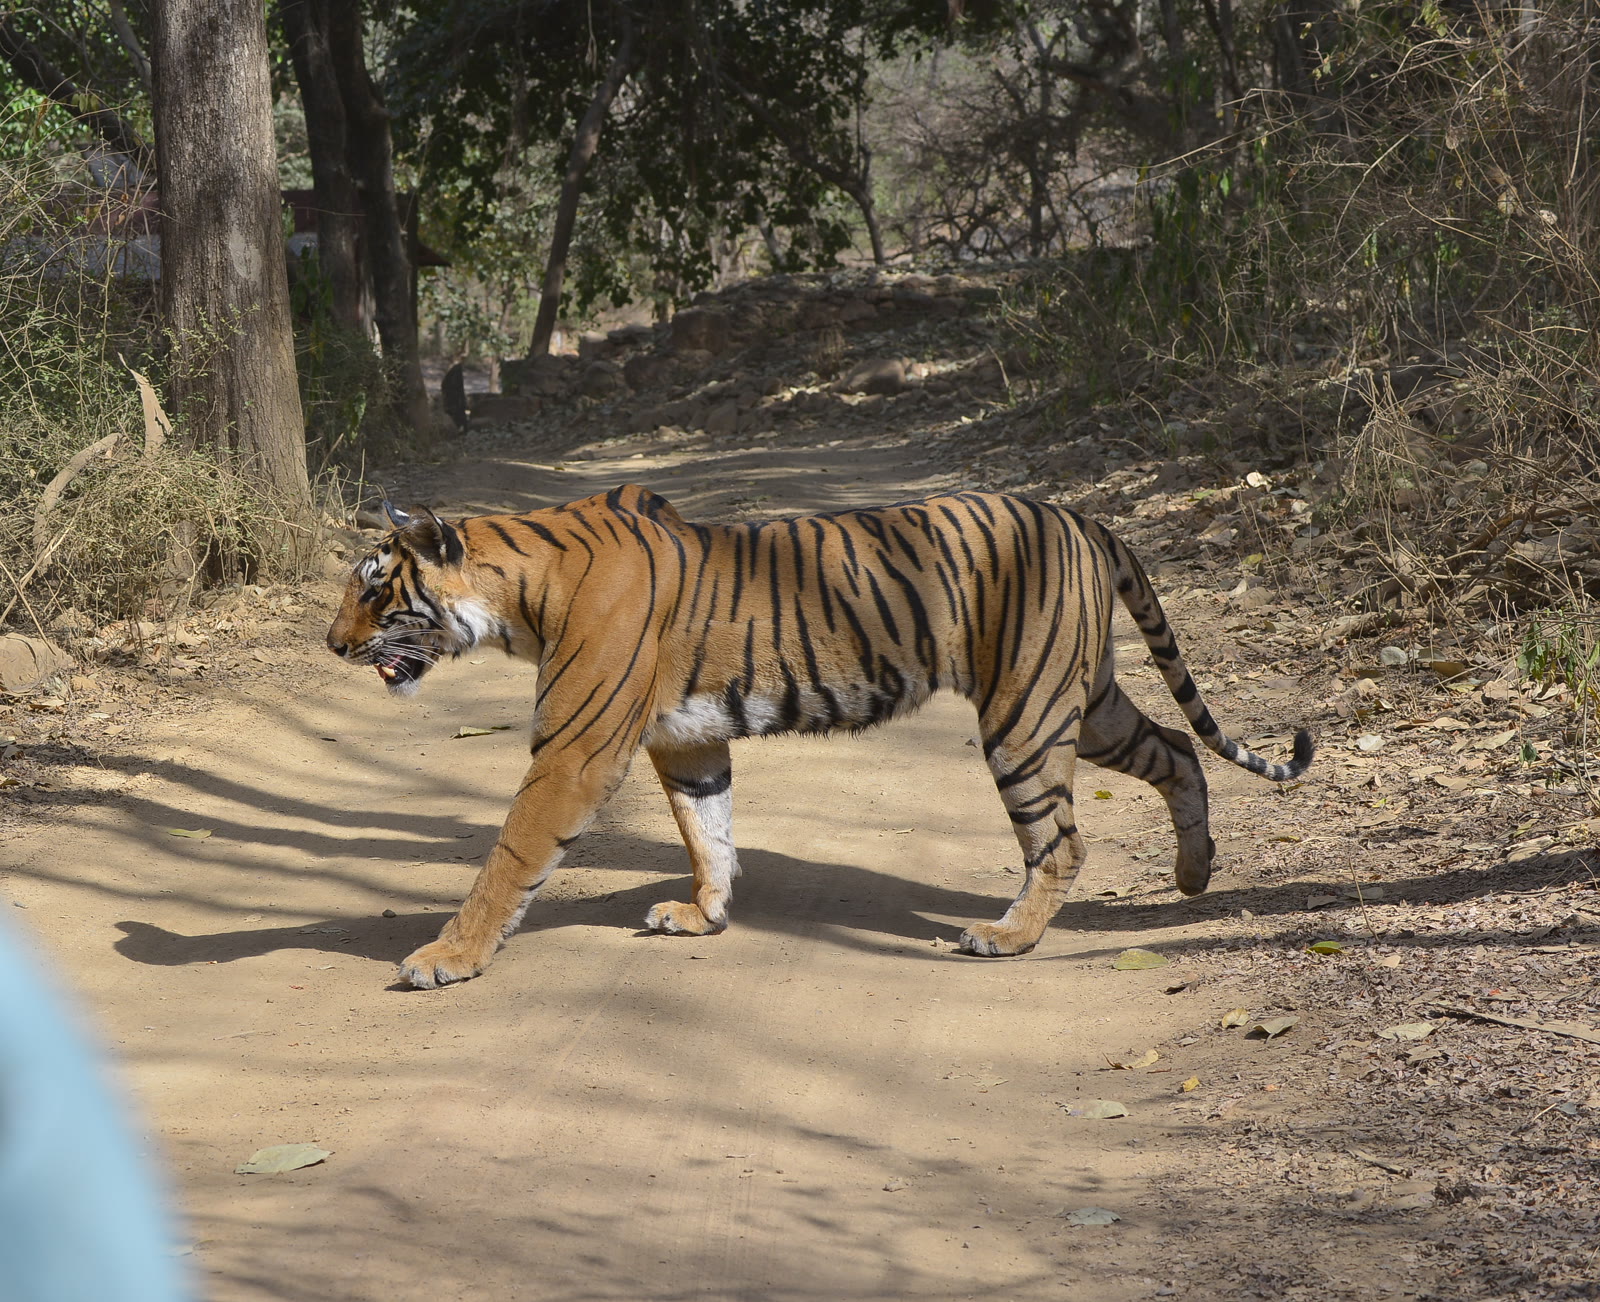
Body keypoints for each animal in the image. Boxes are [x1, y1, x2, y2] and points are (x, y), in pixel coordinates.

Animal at [326, 485, 1313, 989]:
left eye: (375, 589)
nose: (332, 645)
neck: (517, 598)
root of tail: (1081, 515)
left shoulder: (574, 750)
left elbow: (508, 860)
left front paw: (446, 958)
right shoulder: (685, 742)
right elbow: (708, 831)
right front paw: (704, 914)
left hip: (1024, 715)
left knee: (1062, 842)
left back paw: (1005, 938)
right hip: (1084, 696)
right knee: (1176, 749)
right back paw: (1194, 874)